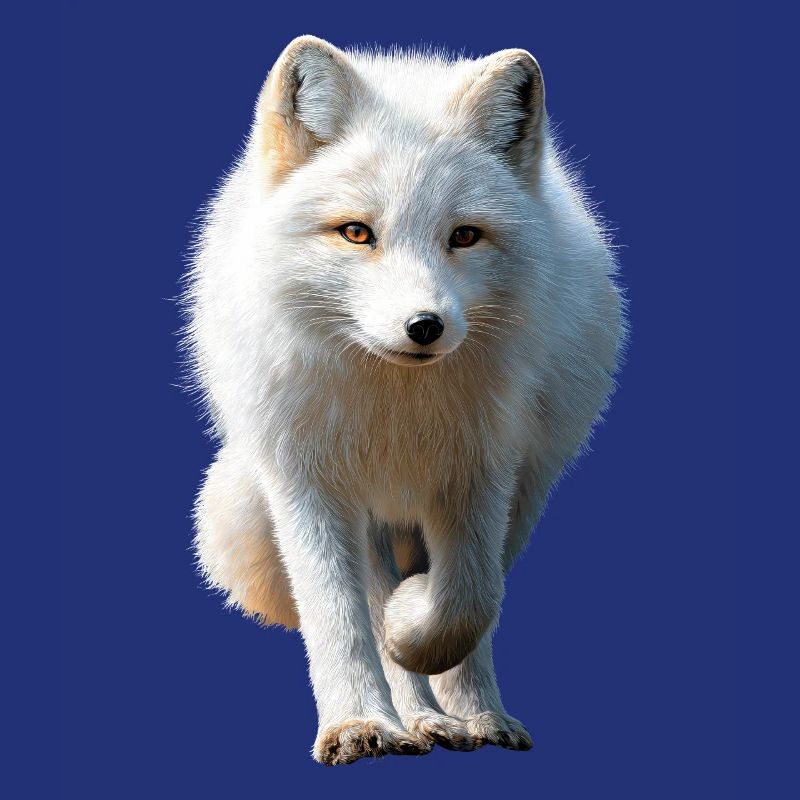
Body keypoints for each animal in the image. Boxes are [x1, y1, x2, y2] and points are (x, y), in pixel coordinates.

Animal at [182, 35, 625, 765]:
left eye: (464, 236)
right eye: (356, 233)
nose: (425, 327)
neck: (397, 409)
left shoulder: (482, 469)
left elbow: (468, 600)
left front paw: (421, 643)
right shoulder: (310, 479)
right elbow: (338, 613)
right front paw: (360, 721)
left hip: (528, 487)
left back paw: (466, 715)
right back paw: (413, 717)